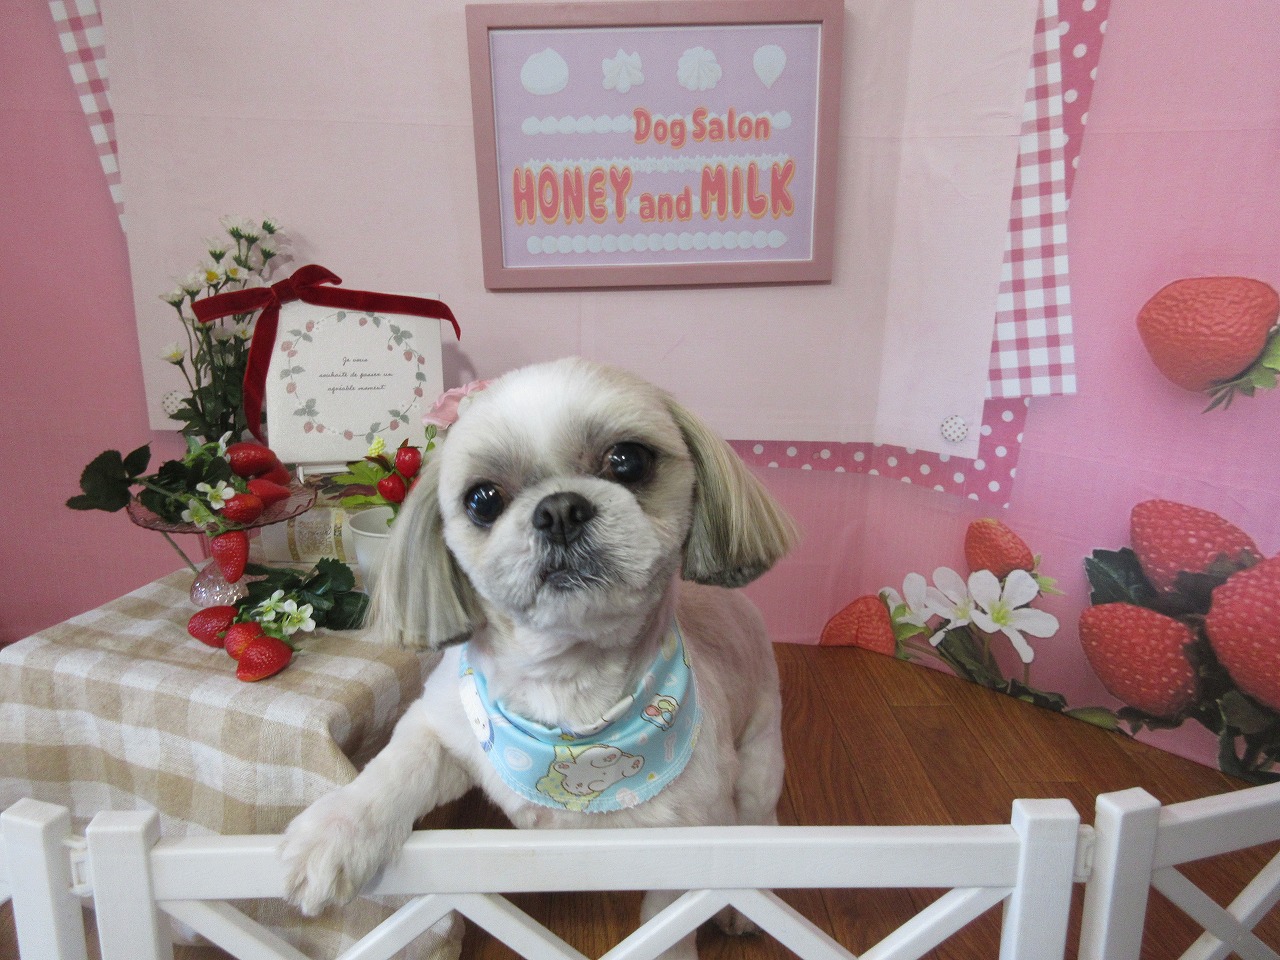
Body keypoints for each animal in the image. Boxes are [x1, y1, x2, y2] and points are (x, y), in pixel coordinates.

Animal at [280, 357, 796, 952]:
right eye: (482, 499)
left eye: (628, 460)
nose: (560, 509)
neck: (567, 684)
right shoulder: (441, 724)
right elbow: (393, 772)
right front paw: (334, 833)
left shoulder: (686, 841)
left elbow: (668, 927)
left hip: (760, 753)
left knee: (759, 815)